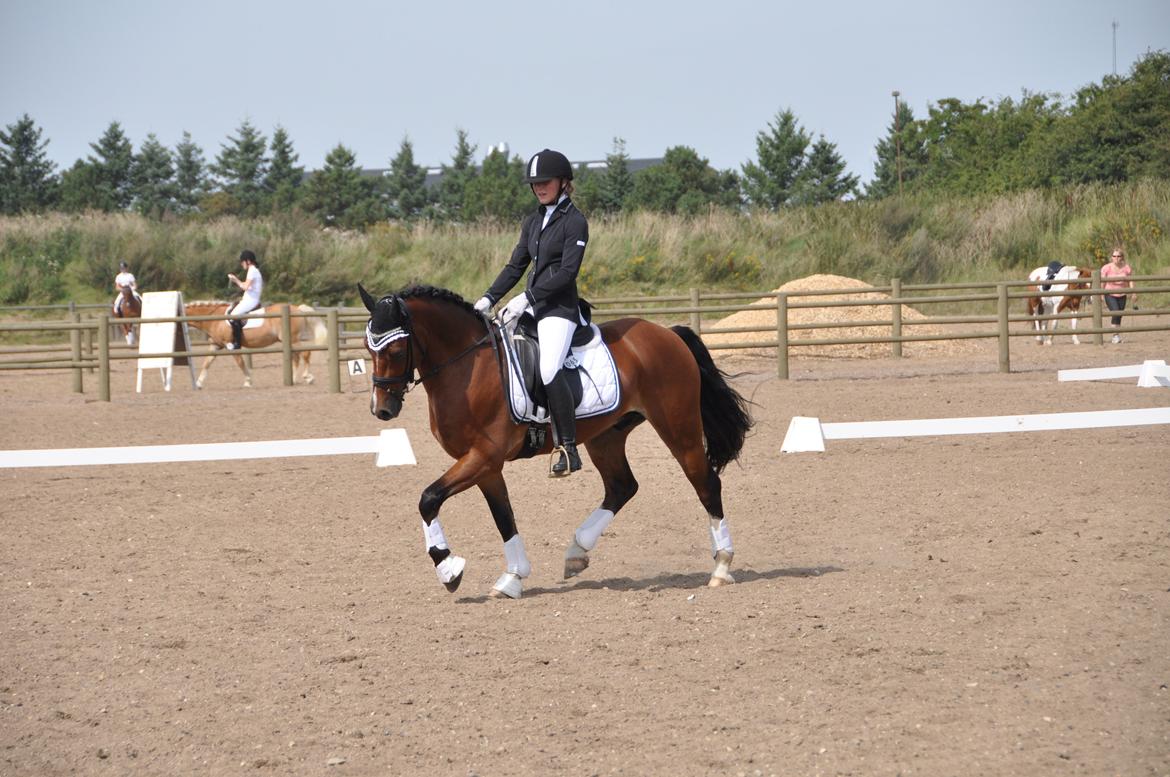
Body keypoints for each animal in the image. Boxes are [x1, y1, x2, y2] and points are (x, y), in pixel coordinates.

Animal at [182, 301, 329, 388]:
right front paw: (198, 383)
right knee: (296, 358)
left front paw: (248, 381)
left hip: (293, 339)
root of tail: (297, 308)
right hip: (289, 341)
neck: (216, 319)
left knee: (305, 353)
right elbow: (207, 363)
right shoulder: (216, 346)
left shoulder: (231, 345)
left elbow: (240, 363)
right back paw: (293, 379)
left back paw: (308, 377)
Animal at [360, 285, 753, 599]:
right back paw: (576, 552)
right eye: (368, 348)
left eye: (395, 351)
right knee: (622, 487)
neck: (469, 366)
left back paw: (721, 567)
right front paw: (512, 579)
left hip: (678, 428)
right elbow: (504, 517)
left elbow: (428, 499)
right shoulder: (486, 466)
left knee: (706, 483)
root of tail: (667, 333)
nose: (382, 410)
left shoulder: (484, 456)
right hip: (607, 437)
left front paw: (449, 571)